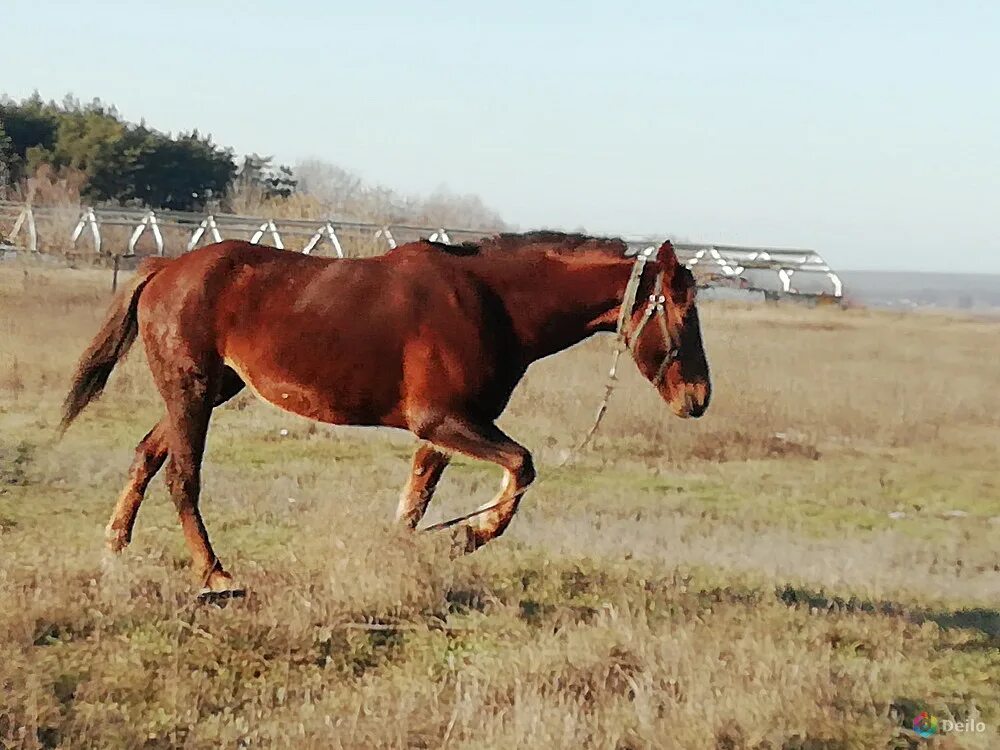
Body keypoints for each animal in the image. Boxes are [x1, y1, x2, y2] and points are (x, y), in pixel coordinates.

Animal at [60, 232, 712, 596]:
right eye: (681, 312)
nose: (698, 398)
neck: (493, 304)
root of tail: (165, 269)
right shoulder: (442, 420)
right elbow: (522, 466)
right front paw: (471, 534)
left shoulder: (449, 430)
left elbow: (415, 503)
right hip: (192, 392)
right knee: (182, 476)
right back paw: (214, 575)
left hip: (208, 390)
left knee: (147, 456)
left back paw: (114, 550)